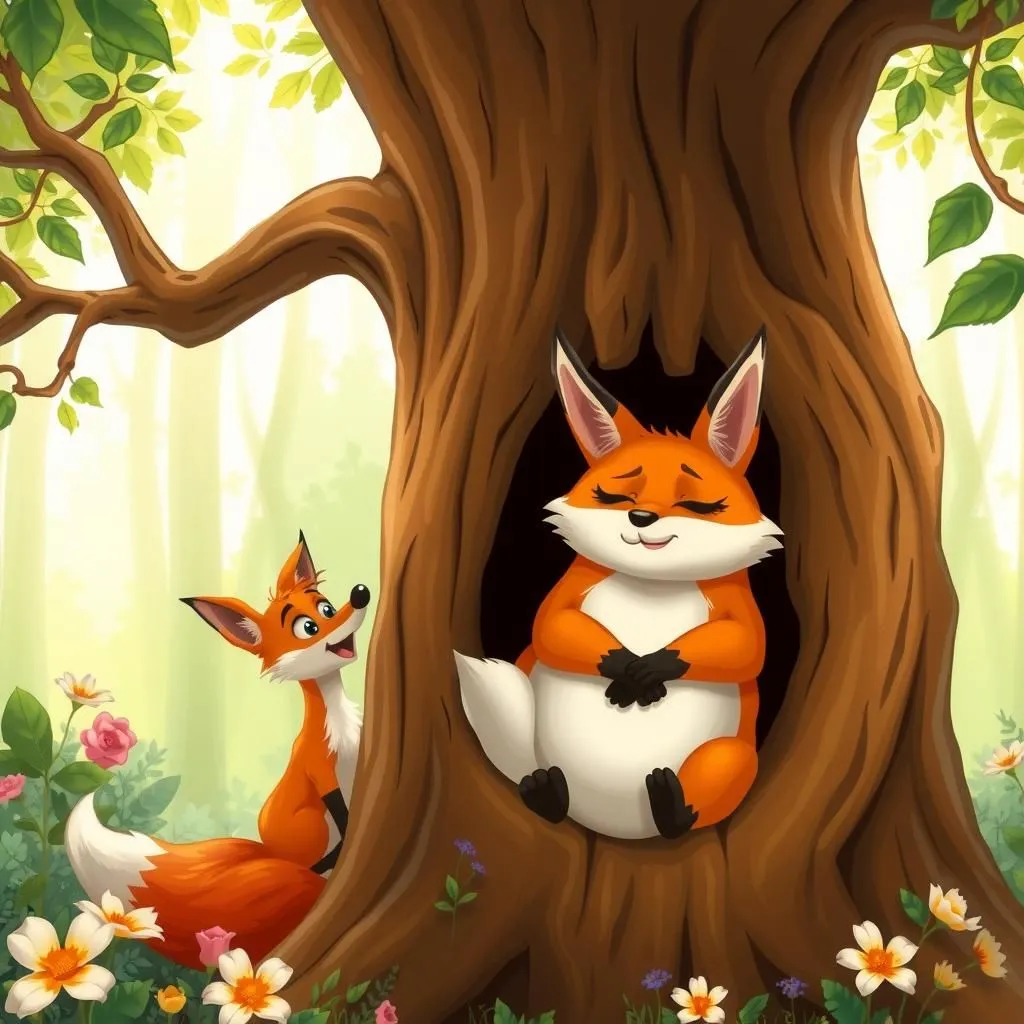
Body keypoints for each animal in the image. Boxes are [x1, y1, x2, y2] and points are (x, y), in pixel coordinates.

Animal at [65, 533, 371, 968]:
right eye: (308, 626)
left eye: (326, 607)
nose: (360, 594)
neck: (340, 729)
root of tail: (264, 853)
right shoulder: (321, 771)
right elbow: (342, 816)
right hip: (307, 826)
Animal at [455, 330, 783, 841]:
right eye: (615, 497)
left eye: (696, 504)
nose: (641, 517)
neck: (651, 585)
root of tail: (617, 825)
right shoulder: (569, 591)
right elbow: (549, 629)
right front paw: (625, 669)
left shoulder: (738, 609)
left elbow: (747, 647)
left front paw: (648, 671)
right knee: (533, 776)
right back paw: (546, 791)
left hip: (733, 755)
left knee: (685, 811)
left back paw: (669, 802)